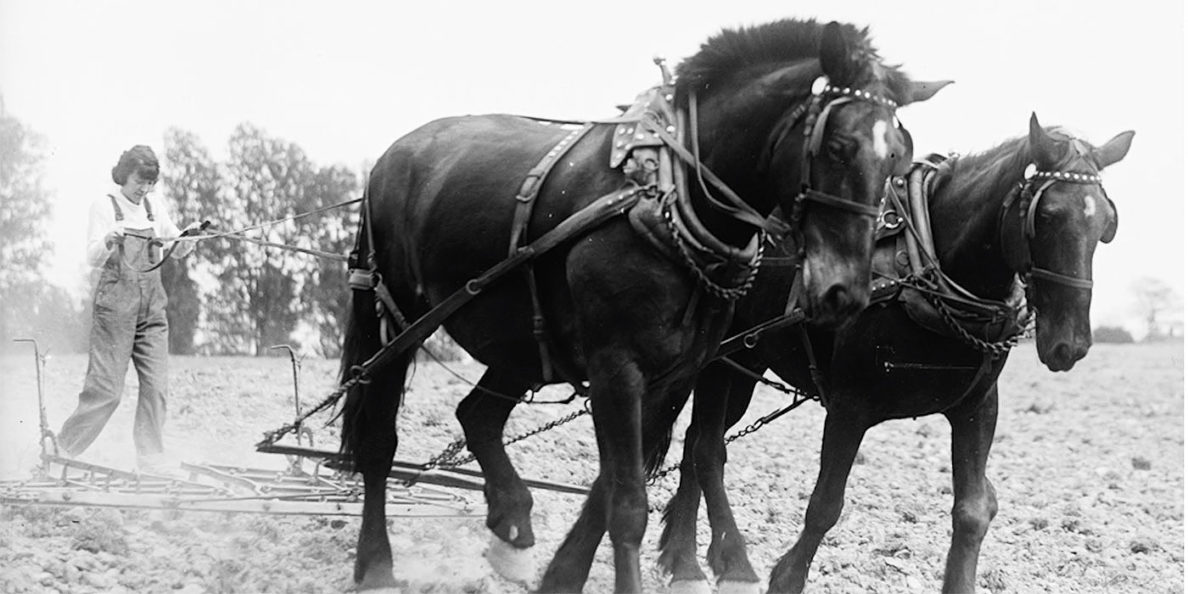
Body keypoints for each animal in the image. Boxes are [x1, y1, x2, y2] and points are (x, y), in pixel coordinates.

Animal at [339, 19, 948, 592]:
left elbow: (611, 488)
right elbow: (628, 503)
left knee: (478, 415)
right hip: (396, 317)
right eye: (838, 147)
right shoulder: (616, 366)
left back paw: (512, 527)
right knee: (379, 440)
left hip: (519, 340)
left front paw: (563, 577)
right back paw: (376, 565)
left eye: (898, 160)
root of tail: (393, 154)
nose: (846, 293)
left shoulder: (673, 374)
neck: (673, 200)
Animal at [656, 113, 1134, 593]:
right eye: (1047, 216)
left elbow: (973, 511)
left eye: (1106, 223)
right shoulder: (849, 405)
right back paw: (723, 562)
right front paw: (786, 578)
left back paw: (684, 560)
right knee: (707, 450)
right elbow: (825, 505)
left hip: (745, 365)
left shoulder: (977, 407)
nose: (1071, 343)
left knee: (695, 444)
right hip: (719, 363)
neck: (924, 266)